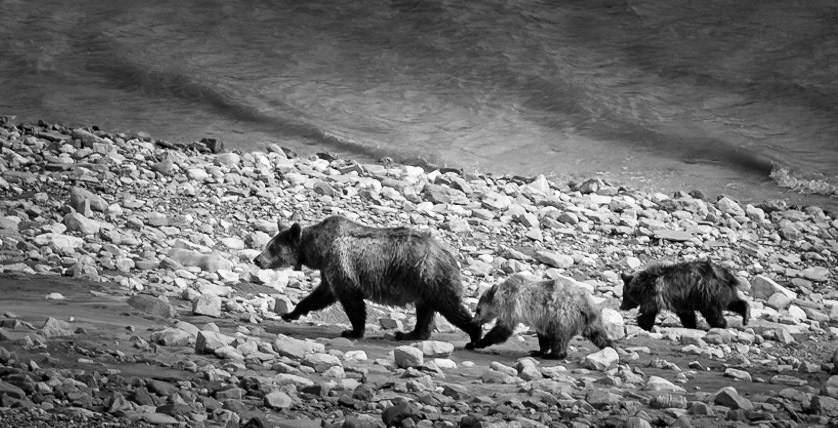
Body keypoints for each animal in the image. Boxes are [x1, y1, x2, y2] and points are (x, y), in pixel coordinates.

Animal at [252, 215, 483, 344]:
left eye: (271, 247)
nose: (257, 259)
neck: (318, 250)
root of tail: (449, 254)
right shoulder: (329, 269)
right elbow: (321, 294)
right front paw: (291, 313)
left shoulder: (341, 262)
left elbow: (350, 300)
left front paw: (353, 330)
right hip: (421, 284)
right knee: (425, 310)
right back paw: (410, 334)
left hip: (429, 276)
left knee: (449, 305)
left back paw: (475, 333)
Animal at [465, 273, 613, 360]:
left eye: (478, 309)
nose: (473, 322)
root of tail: (586, 304)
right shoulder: (542, 318)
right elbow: (543, 336)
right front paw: (539, 350)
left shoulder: (511, 307)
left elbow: (502, 329)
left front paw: (476, 343)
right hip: (590, 319)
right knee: (598, 334)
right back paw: (611, 346)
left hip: (563, 316)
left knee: (559, 337)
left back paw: (555, 355)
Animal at [620, 260, 750, 331]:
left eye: (624, 295)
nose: (621, 307)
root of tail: (726, 276)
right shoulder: (681, 301)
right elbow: (687, 315)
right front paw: (691, 325)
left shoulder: (652, 296)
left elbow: (647, 313)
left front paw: (643, 325)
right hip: (723, 292)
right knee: (733, 302)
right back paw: (746, 315)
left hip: (707, 293)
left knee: (713, 312)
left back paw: (720, 325)